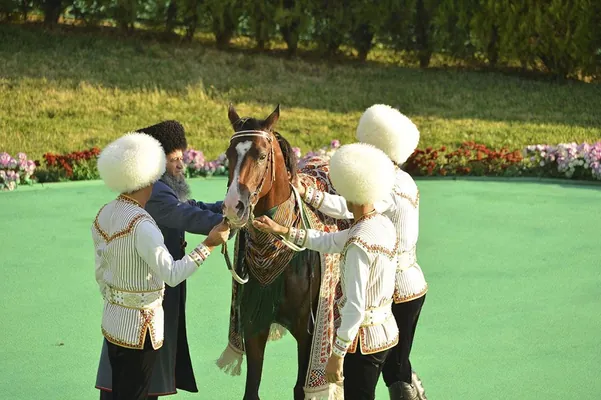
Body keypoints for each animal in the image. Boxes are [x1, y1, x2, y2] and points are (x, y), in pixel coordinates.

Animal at [220, 104, 324, 400]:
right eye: (228, 154)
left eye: (262, 155)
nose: (233, 206)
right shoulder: (254, 323)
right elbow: (251, 390)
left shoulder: (307, 329)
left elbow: (301, 388)